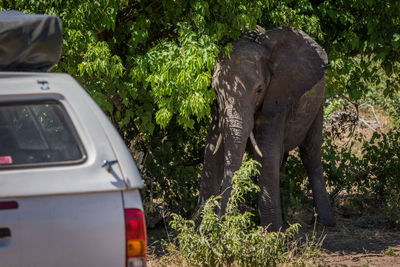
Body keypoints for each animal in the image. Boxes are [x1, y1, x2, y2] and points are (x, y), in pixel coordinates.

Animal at [198, 26, 336, 232]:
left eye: (260, 89)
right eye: (214, 89)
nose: (223, 224)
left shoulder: (277, 95)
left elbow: (267, 153)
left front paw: (273, 234)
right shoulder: (217, 107)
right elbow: (213, 150)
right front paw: (200, 229)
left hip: (318, 103)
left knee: (310, 153)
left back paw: (323, 223)